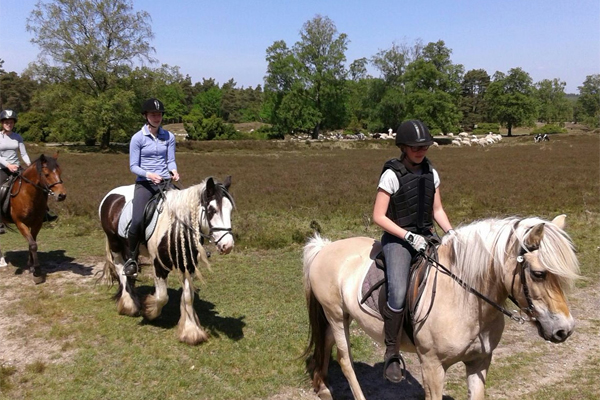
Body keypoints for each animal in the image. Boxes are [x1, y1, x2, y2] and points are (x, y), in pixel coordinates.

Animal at [0, 154, 67, 284]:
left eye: (60, 172)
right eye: (46, 174)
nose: (62, 195)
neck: (28, 194)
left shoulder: (37, 223)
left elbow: (32, 243)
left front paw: (31, 266)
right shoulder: (20, 223)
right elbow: (32, 244)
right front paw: (37, 272)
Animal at [98, 177, 234, 346]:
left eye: (230, 210)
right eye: (212, 210)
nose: (228, 246)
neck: (176, 227)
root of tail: (111, 195)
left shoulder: (188, 265)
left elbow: (188, 296)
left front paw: (191, 332)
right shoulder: (158, 265)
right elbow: (162, 297)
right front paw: (149, 312)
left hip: (128, 247)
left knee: (129, 270)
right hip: (114, 242)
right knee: (120, 269)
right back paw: (129, 305)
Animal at [304, 216, 580, 400]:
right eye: (538, 274)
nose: (564, 330)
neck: (464, 298)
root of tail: (324, 248)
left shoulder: (479, 362)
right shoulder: (432, 366)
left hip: (341, 316)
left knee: (326, 342)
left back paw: (323, 387)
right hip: (336, 315)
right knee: (345, 360)